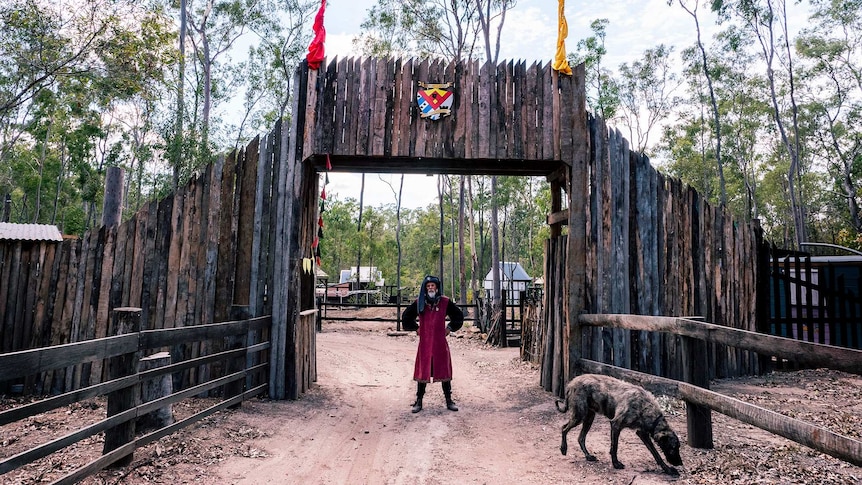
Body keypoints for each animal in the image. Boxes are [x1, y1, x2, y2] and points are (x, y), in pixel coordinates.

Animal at [556, 372, 684, 474]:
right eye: (673, 448)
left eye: (678, 447)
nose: (680, 463)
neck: (644, 407)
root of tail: (571, 383)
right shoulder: (616, 425)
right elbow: (615, 447)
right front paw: (616, 464)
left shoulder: (643, 434)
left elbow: (656, 454)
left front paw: (667, 469)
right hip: (579, 416)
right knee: (564, 428)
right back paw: (563, 448)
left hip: (589, 418)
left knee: (580, 438)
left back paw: (588, 456)